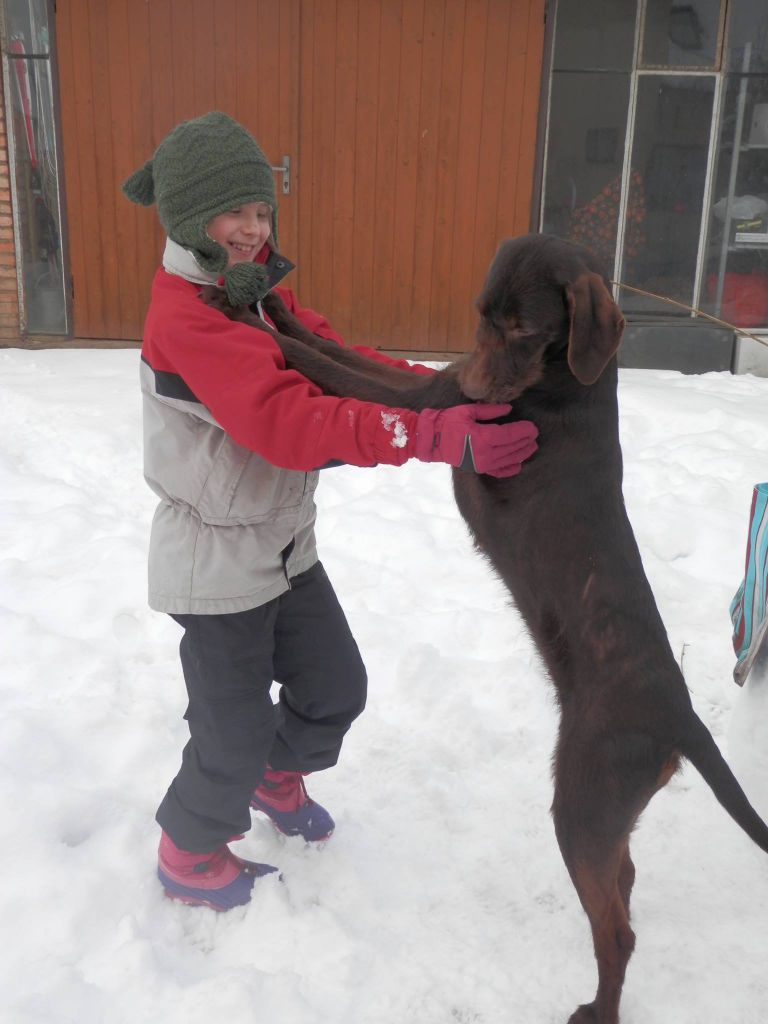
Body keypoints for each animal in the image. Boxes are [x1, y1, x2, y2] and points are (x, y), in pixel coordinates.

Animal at [202, 234, 768, 1024]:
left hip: (582, 803)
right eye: (480, 317)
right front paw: (276, 307)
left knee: (617, 931)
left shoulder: (427, 398)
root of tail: (682, 720)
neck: (569, 376)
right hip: (609, 819)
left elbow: (327, 365)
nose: (479, 384)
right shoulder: (438, 386)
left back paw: (598, 1010)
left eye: (525, 328)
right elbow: (339, 350)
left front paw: (243, 319)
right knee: (625, 888)